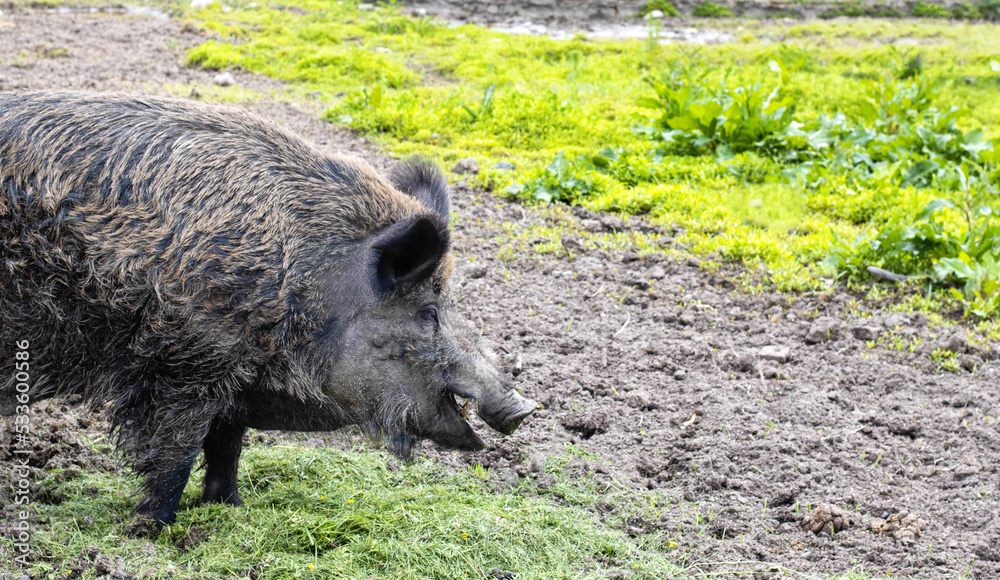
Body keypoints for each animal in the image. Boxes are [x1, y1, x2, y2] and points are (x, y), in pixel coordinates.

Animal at [0, 91, 536, 534]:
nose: (526, 407)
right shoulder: (185, 366)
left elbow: (227, 445)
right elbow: (175, 453)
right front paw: (151, 531)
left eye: (449, 300)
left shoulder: (231, 379)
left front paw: (227, 507)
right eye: (427, 311)